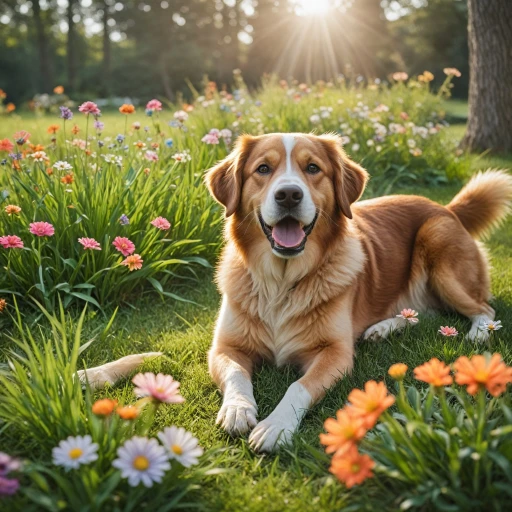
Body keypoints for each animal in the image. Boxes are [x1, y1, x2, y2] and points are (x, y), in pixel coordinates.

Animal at [79, 134, 508, 454]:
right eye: (263, 169)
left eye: (313, 168)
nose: (288, 195)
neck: (281, 283)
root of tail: (446, 207)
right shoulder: (224, 346)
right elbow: (232, 373)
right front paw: (237, 409)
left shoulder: (334, 355)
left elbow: (297, 386)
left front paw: (275, 426)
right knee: (422, 314)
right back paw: (382, 329)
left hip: (438, 247)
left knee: (483, 309)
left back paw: (474, 334)